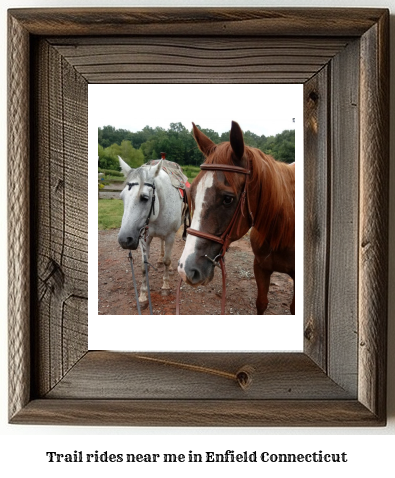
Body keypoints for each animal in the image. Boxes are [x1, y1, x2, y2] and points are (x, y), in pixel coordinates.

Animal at [117, 157, 186, 306]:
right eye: (122, 197)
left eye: (144, 198)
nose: (124, 240)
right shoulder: (145, 238)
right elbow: (145, 266)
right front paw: (143, 295)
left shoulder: (170, 236)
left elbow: (167, 260)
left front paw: (165, 286)